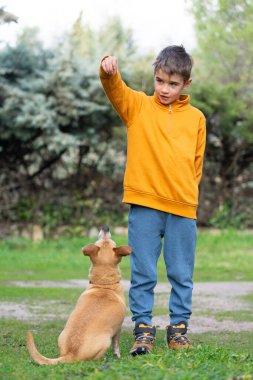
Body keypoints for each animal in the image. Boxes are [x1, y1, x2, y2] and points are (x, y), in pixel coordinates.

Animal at [26, 227, 131, 364]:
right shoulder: (118, 329)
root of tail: (70, 354)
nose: (105, 227)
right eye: (104, 239)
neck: (104, 284)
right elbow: (116, 345)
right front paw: (117, 355)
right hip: (105, 341)